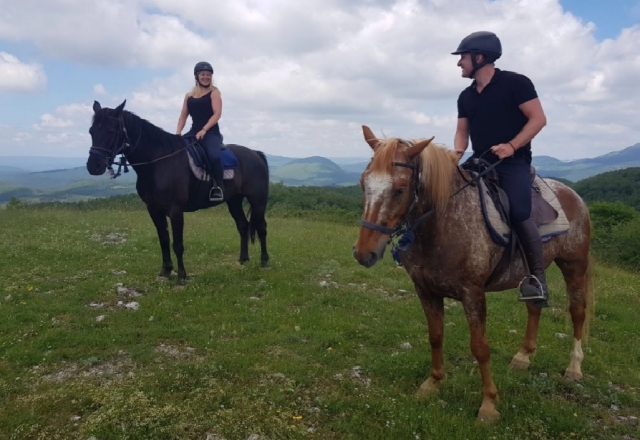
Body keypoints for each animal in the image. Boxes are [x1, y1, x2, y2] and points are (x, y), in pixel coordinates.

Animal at [87, 100, 268, 286]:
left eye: (111, 130)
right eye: (91, 131)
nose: (93, 166)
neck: (158, 163)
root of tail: (256, 154)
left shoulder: (175, 210)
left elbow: (178, 244)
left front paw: (181, 276)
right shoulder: (154, 209)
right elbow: (164, 240)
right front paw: (165, 271)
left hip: (258, 201)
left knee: (261, 227)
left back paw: (264, 261)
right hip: (234, 201)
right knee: (243, 225)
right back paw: (243, 260)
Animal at [352, 124, 592, 422]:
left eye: (399, 190)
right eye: (363, 183)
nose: (364, 253)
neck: (444, 224)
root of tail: (574, 196)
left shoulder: (473, 294)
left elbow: (480, 348)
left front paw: (488, 404)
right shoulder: (425, 290)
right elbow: (435, 336)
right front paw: (432, 383)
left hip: (574, 265)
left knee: (578, 311)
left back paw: (574, 367)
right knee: (535, 306)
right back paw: (523, 357)